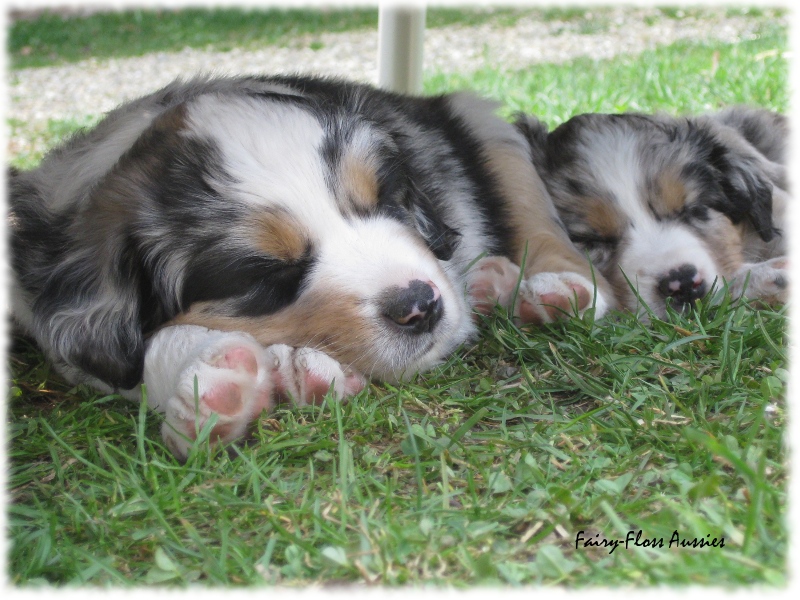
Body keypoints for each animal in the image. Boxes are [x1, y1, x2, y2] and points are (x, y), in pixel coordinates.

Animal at [7, 76, 612, 460]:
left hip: (490, 130)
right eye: (264, 274)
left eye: (387, 200)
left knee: (540, 221)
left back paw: (556, 289)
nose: (421, 307)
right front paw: (218, 383)